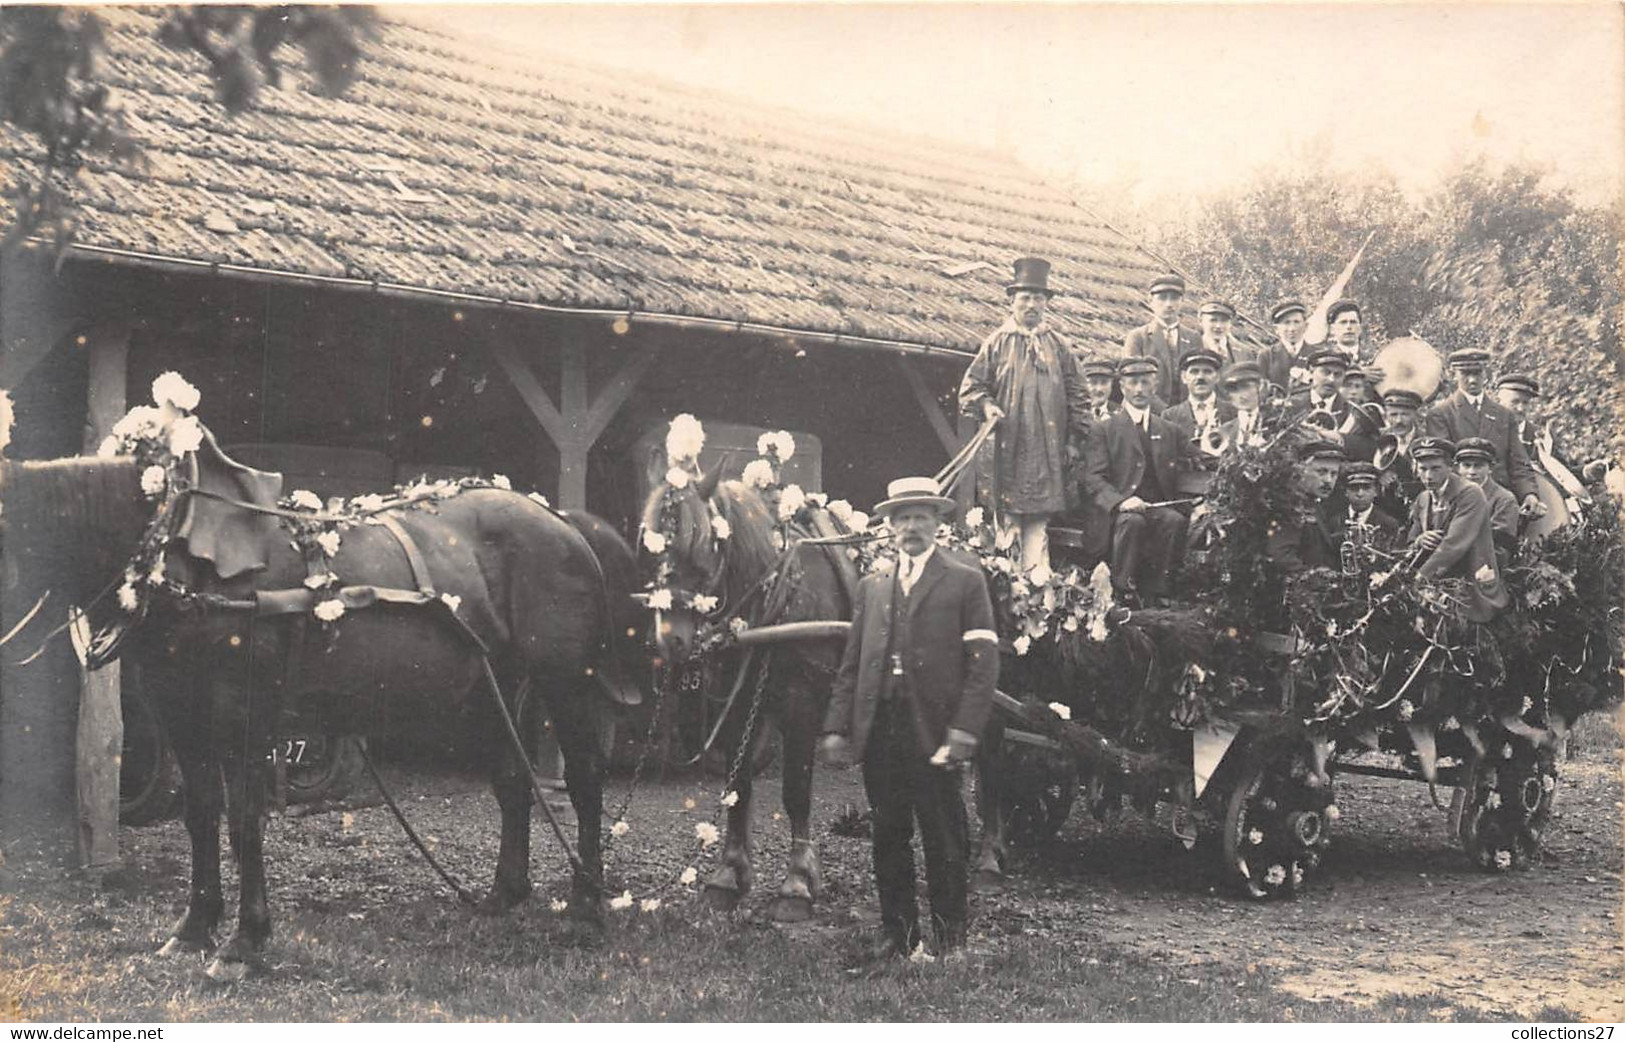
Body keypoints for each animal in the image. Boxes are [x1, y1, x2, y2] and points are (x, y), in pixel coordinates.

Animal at [0, 451, 617, 975]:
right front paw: (194, 929)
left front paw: (243, 943)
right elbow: (201, 816)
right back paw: (504, 894)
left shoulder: (243, 715)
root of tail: (561, 521)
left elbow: (245, 820)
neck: (183, 557)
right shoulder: (183, 717)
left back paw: (586, 904)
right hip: (495, 688)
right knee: (512, 781)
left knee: (585, 778)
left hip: (564, 681)